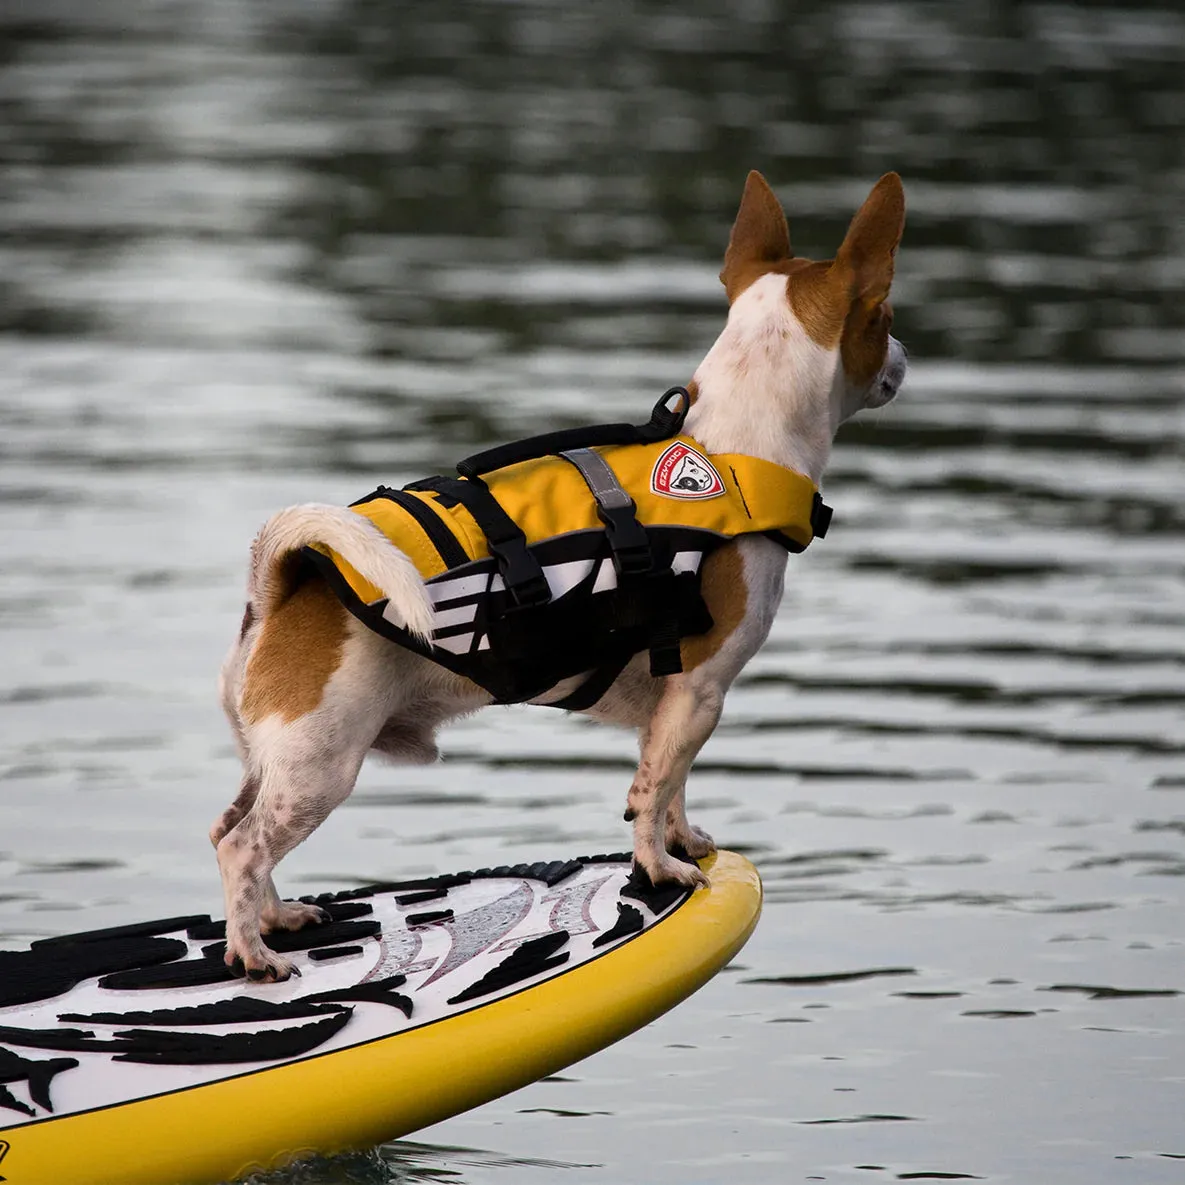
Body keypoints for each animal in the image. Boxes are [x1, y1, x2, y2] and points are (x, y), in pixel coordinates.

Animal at [210, 169, 905, 981]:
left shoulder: (675, 706)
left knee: (232, 829)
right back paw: (253, 952)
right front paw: (659, 867)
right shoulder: (700, 691)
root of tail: (283, 582)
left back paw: (273, 917)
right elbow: (650, 791)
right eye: (885, 314)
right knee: (242, 847)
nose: (903, 356)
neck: (736, 449)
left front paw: (683, 838)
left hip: (277, 765)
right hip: (318, 768)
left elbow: (671, 785)